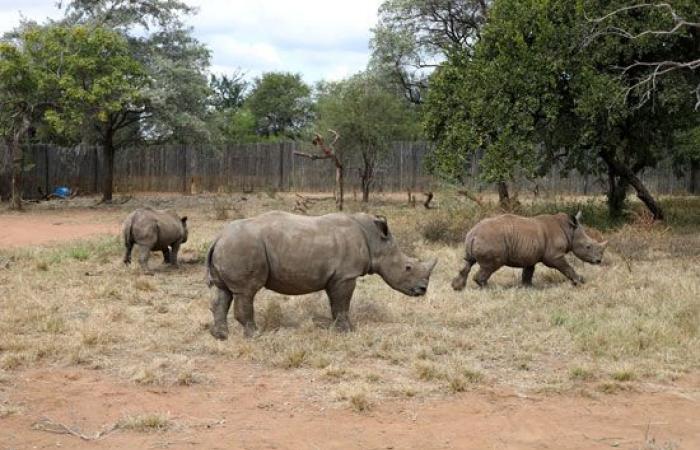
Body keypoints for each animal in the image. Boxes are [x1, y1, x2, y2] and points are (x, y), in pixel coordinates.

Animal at [204, 211, 438, 338]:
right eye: (408, 267)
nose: (422, 290)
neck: (375, 241)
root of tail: (218, 238)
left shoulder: (335, 277)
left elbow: (336, 305)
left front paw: (337, 328)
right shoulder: (346, 275)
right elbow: (343, 304)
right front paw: (348, 331)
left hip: (231, 246)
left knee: (224, 292)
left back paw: (221, 336)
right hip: (242, 246)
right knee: (246, 292)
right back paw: (255, 335)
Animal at [454, 211, 608, 288]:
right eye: (588, 246)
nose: (599, 260)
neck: (570, 231)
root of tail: (473, 234)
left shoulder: (530, 255)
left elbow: (528, 272)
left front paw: (527, 287)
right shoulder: (555, 256)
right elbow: (566, 267)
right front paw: (579, 282)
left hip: (477, 239)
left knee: (468, 262)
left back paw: (457, 287)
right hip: (491, 240)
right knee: (490, 266)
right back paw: (489, 288)